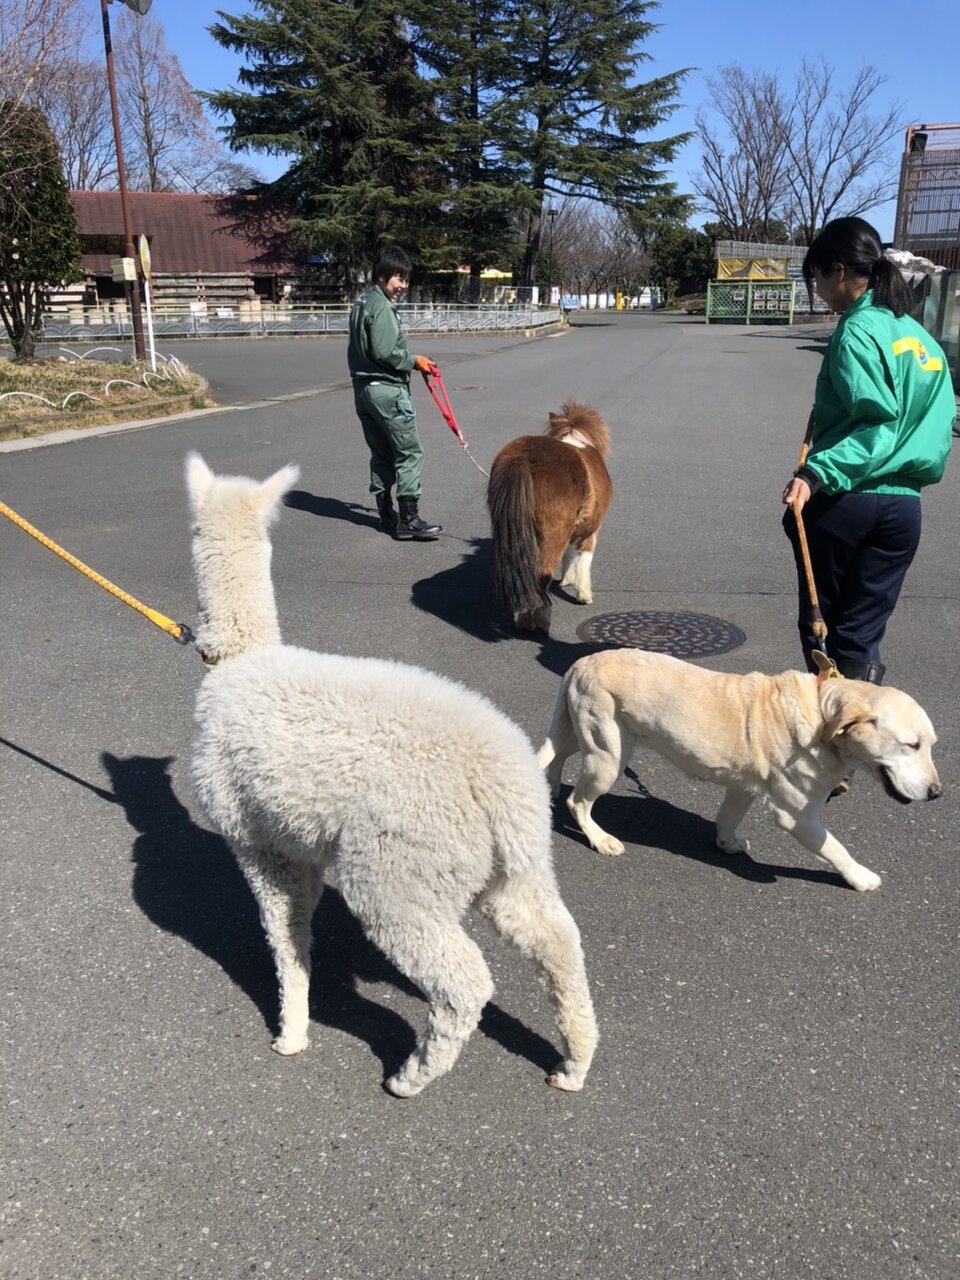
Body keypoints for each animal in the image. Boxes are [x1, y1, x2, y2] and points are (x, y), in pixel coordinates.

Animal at [488, 401, 616, 632]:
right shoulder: (592, 529)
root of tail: (524, 458)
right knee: (541, 574)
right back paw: (539, 621)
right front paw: (584, 594)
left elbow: (569, 554)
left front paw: (567, 579)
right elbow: (584, 558)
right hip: (554, 534)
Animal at [537, 650, 942, 890]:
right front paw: (860, 877)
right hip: (608, 755)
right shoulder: (798, 817)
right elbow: (835, 848)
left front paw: (727, 843)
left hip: (580, 734)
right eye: (911, 745)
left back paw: (550, 792)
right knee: (579, 802)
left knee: (554, 758)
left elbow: (728, 818)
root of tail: (582, 662)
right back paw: (599, 837)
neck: (823, 711)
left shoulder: (743, 786)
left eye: (931, 744)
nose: (937, 793)